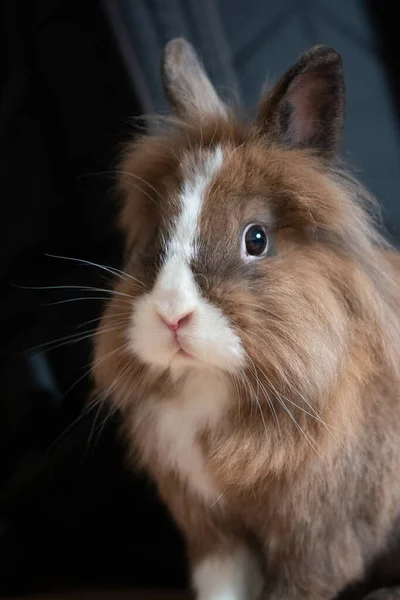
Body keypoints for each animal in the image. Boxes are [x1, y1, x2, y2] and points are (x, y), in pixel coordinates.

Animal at [92, 38, 400, 600]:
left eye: (255, 239)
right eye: (155, 238)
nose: (172, 316)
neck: (212, 386)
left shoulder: (320, 541)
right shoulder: (215, 536)